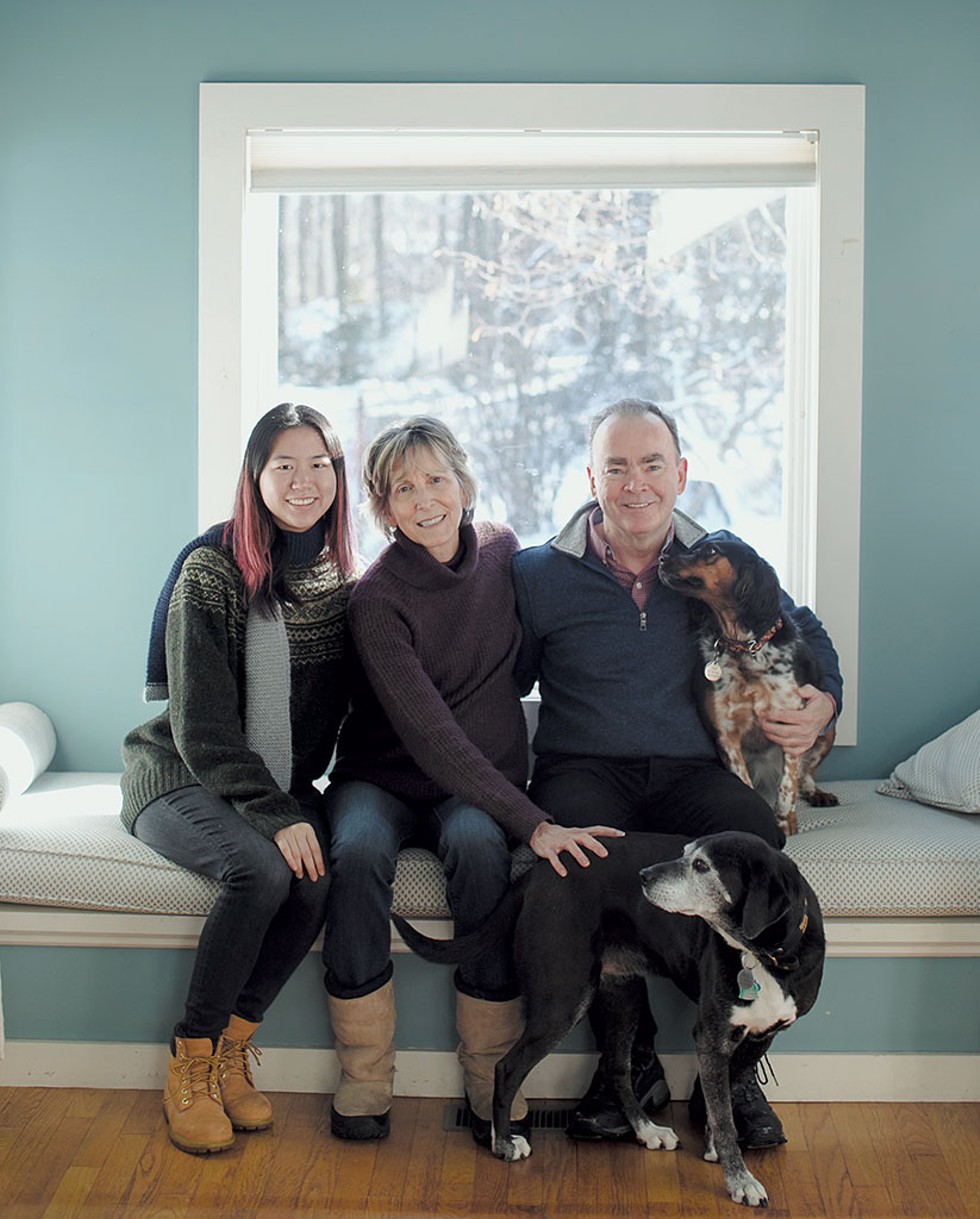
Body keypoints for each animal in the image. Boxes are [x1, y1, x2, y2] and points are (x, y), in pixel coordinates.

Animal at [394, 828, 823, 1209]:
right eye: (686, 853)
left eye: (701, 866)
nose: (643, 876)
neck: (770, 953)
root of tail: (541, 872)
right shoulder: (711, 1036)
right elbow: (723, 1115)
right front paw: (741, 1182)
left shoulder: (760, 1036)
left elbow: (725, 1101)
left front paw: (716, 1146)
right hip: (564, 999)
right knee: (507, 1067)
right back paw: (504, 1144)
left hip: (621, 994)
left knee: (618, 1068)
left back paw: (646, 1131)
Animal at [653, 538, 838, 833]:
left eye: (711, 551)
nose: (661, 558)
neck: (744, 647)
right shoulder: (726, 735)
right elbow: (746, 785)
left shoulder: (792, 729)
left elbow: (788, 786)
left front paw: (786, 823)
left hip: (827, 730)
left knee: (805, 775)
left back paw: (816, 793)